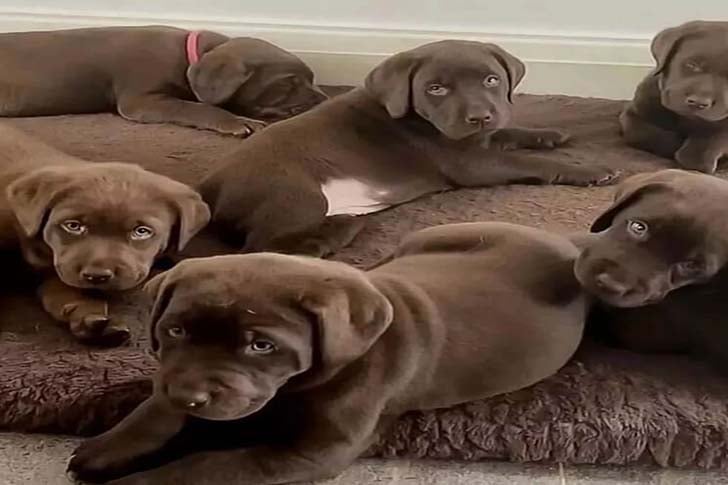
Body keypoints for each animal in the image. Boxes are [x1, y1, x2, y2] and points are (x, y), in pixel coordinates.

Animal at [0, 26, 326, 136]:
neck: (190, 55)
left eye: (311, 78)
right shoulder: (142, 99)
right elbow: (196, 107)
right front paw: (236, 121)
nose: (325, 100)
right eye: (289, 83)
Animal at [0, 124, 210, 346]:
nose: (97, 276)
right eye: (73, 226)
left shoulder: (56, 271)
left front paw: (90, 319)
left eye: (141, 231)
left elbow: (64, 291)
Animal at [68, 221, 588, 484]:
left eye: (262, 346)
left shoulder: (314, 452)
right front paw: (112, 445)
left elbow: (205, 466)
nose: (190, 397)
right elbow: (155, 408)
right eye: (174, 330)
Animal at [199, 40, 619, 258]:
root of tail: (208, 188)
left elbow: (510, 134)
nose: (479, 116)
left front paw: (549, 133)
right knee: (261, 247)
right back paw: (336, 233)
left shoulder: (481, 140)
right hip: (295, 191)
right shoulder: (471, 162)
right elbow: (526, 161)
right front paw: (591, 170)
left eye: (491, 80)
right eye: (436, 88)